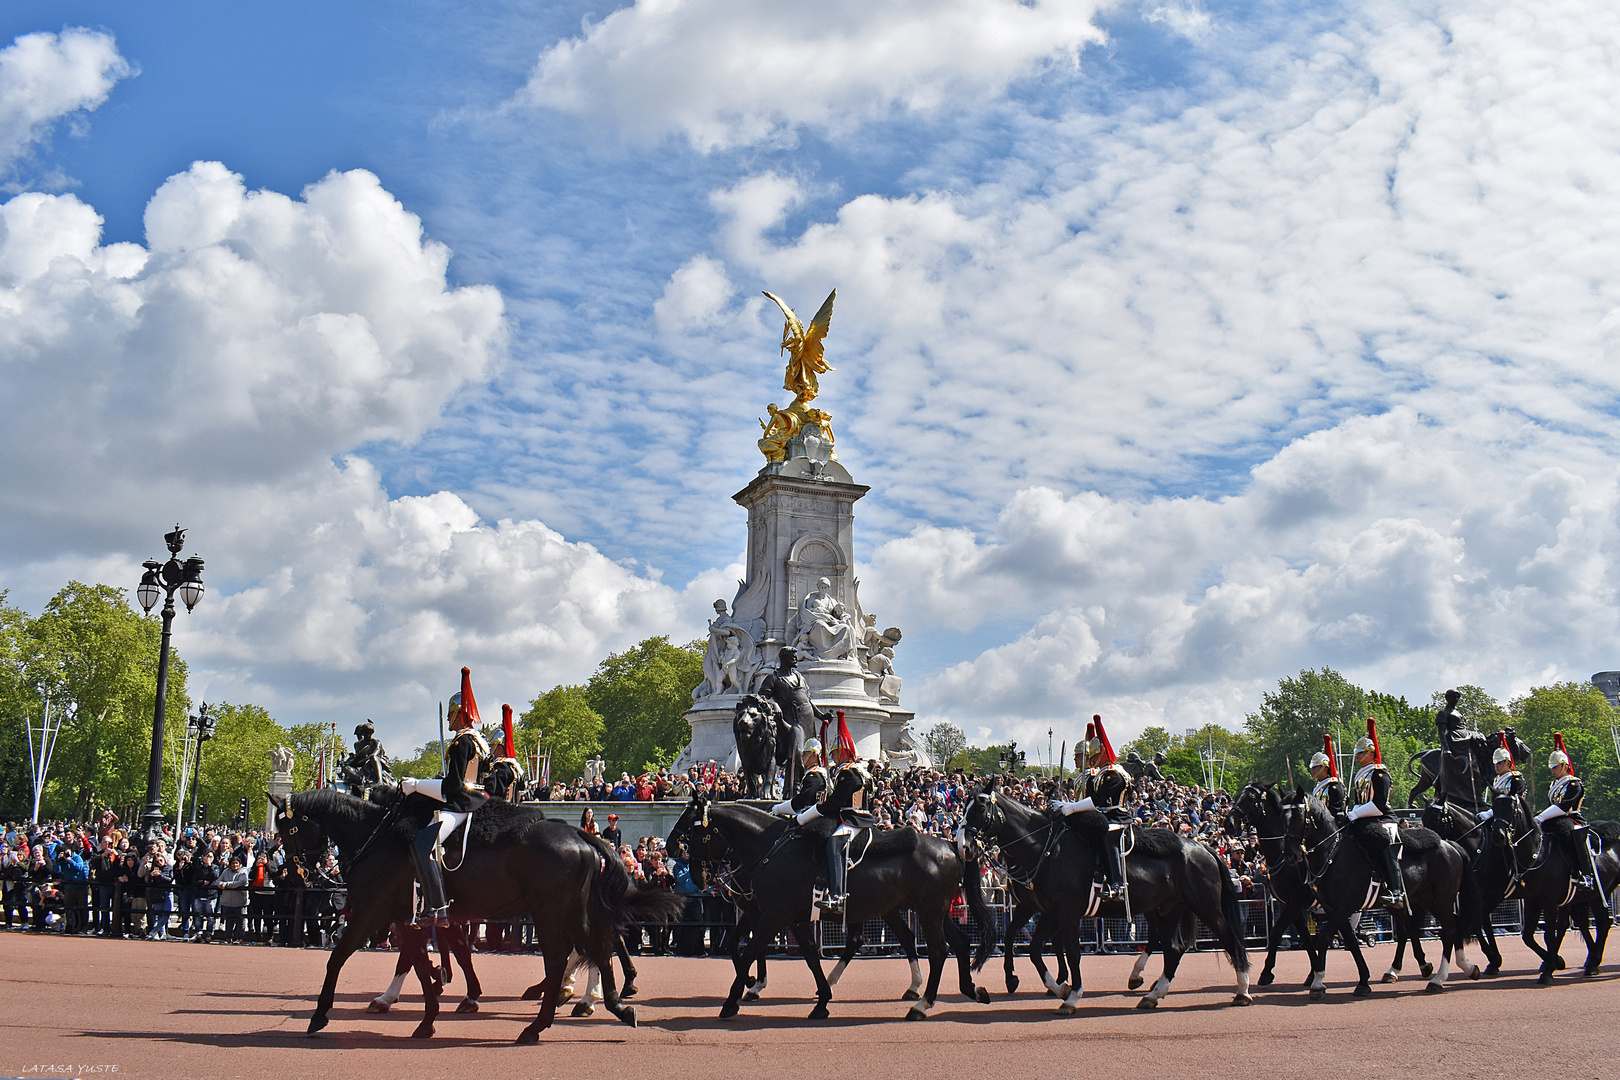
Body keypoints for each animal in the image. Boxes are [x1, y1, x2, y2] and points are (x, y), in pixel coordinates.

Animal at [272, 790, 677, 1042]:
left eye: (288, 829)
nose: (302, 874)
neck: (377, 839)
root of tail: (580, 833)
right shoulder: (410, 919)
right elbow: (422, 964)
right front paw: (429, 1014)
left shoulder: (372, 912)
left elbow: (338, 958)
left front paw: (320, 1014)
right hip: (574, 911)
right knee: (599, 948)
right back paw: (611, 1005)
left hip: (551, 913)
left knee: (568, 955)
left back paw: (544, 1021)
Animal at [664, 777, 991, 1023]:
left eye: (690, 827)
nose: (670, 849)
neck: (769, 847)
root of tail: (951, 845)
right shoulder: (787, 917)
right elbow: (807, 955)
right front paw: (821, 1000)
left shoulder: (772, 915)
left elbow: (750, 951)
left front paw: (735, 998)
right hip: (929, 910)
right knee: (956, 942)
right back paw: (967, 990)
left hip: (927, 910)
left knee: (936, 950)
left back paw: (921, 1004)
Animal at [959, 780, 1250, 1010]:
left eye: (980, 808)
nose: (963, 846)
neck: (1043, 848)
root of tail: (1202, 847)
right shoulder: (1042, 909)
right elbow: (1026, 945)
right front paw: (1039, 983)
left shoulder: (1065, 912)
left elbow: (1069, 951)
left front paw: (1071, 995)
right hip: (1167, 908)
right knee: (1173, 948)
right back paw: (1153, 993)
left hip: (1205, 906)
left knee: (1228, 938)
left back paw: (1242, 989)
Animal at [1276, 790, 1483, 1003]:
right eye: (1282, 817)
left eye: (1299, 816)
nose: (1290, 855)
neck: (1332, 853)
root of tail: (1448, 843)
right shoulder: (1333, 908)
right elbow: (1351, 941)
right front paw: (1363, 981)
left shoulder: (1344, 905)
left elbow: (1325, 937)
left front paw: (1318, 982)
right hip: (1426, 898)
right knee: (1445, 926)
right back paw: (1465, 967)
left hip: (1442, 897)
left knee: (1448, 930)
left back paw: (1438, 980)